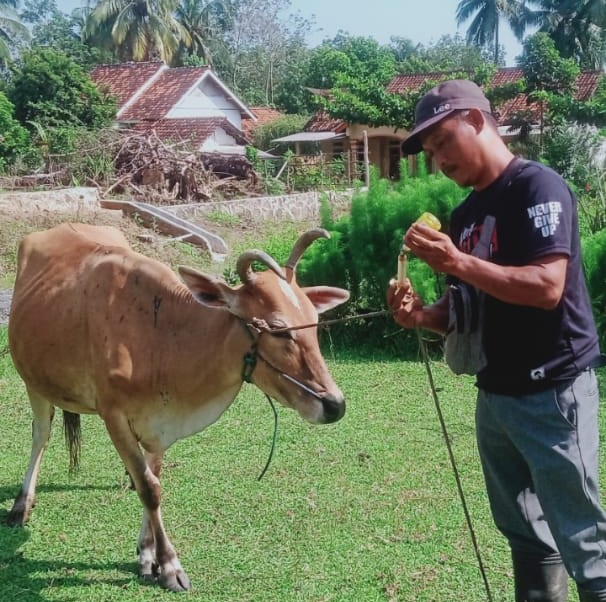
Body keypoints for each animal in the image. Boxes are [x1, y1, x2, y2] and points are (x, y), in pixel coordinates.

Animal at [8, 221, 352, 592]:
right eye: (277, 329)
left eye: (314, 322)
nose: (334, 404)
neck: (160, 336)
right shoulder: (113, 414)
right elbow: (151, 490)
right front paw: (170, 565)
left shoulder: (162, 425)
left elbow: (152, 480)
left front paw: (147, 555)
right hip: (34, 382)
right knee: (40, 435)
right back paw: (21, 505)